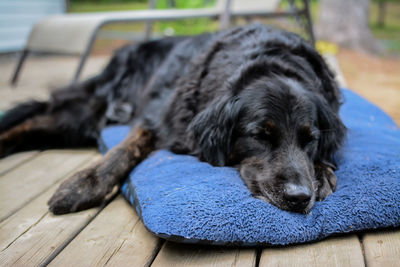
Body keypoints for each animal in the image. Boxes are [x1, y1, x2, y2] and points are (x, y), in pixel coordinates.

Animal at [0, 24, 346, 215]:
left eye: (311, 139)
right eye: (260, 135)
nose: (299, 197)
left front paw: (321, 172)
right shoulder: (157, 117)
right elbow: (125, 150)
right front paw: (84, 184)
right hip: (86, 111)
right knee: (27, 124)